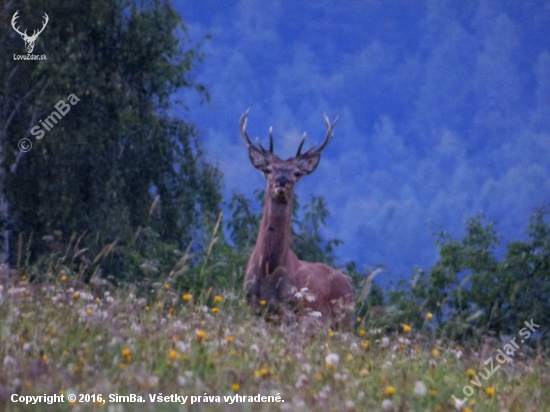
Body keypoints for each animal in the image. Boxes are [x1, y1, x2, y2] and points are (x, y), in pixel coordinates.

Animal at [240, 110, 354, 332]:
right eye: (268, 169)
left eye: (297, 172)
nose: (282, 180)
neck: (268, 271)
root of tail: (349, 281)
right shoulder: (251, 305)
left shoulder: (291, 310)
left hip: (343, 322)